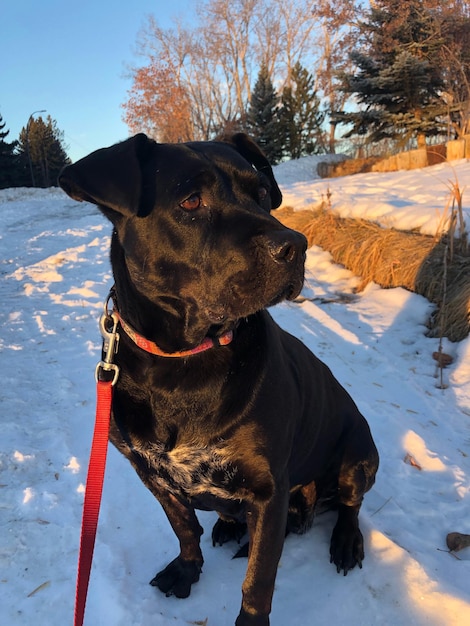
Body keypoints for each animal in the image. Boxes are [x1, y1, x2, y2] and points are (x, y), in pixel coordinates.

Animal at [60, 134, 380, 624]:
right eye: (192, 201)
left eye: (263, 193)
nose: (295, 244)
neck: (179, 365)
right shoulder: (151, 473)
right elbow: (184, 527)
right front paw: (187, 569)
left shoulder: (269, 492)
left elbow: (259, 580)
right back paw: (233, 526)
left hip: (357, 453)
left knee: (350, 504)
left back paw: (344, 540)